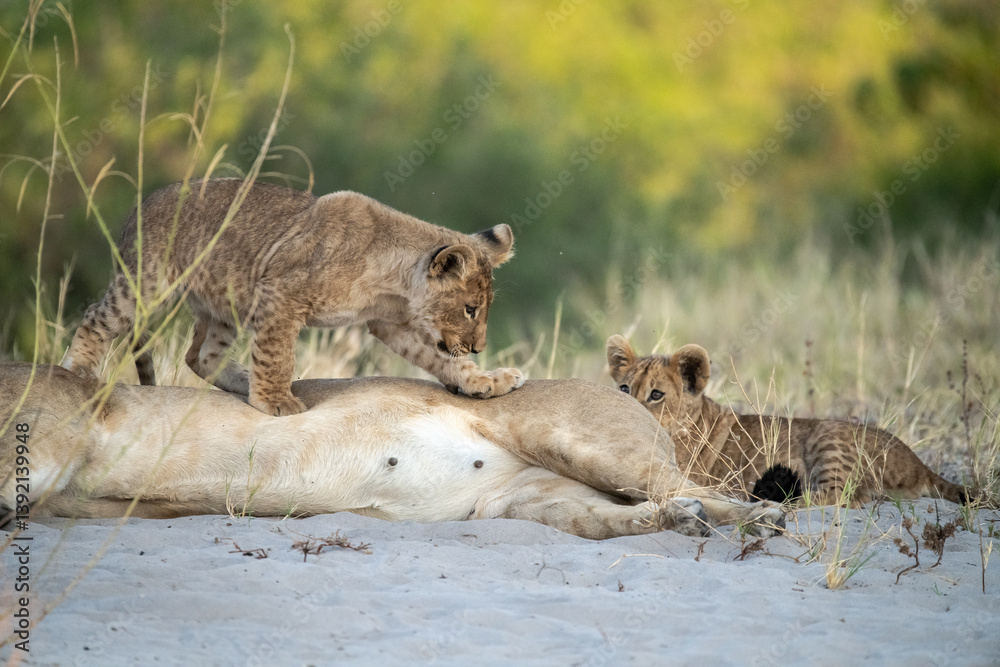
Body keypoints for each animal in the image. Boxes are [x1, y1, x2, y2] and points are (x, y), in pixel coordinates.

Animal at [61, 178, 523, 417]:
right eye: (470, 309)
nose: (479, 347)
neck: (394, 283)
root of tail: (140, 205)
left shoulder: (389, 323)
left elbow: (440, 358)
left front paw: (483, 380)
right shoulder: (280, 295)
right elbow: (277, 354)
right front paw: (276, 401)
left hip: (225, 300)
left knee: (200, 355)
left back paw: (240, 381)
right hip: (148, 283)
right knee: (96, 316)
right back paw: (77, 371)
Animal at [606, 335, 970, 506]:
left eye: (656, 395)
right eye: (624, 388)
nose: (625, 407)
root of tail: (919, 464)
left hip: (829, 437)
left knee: (843, 497)